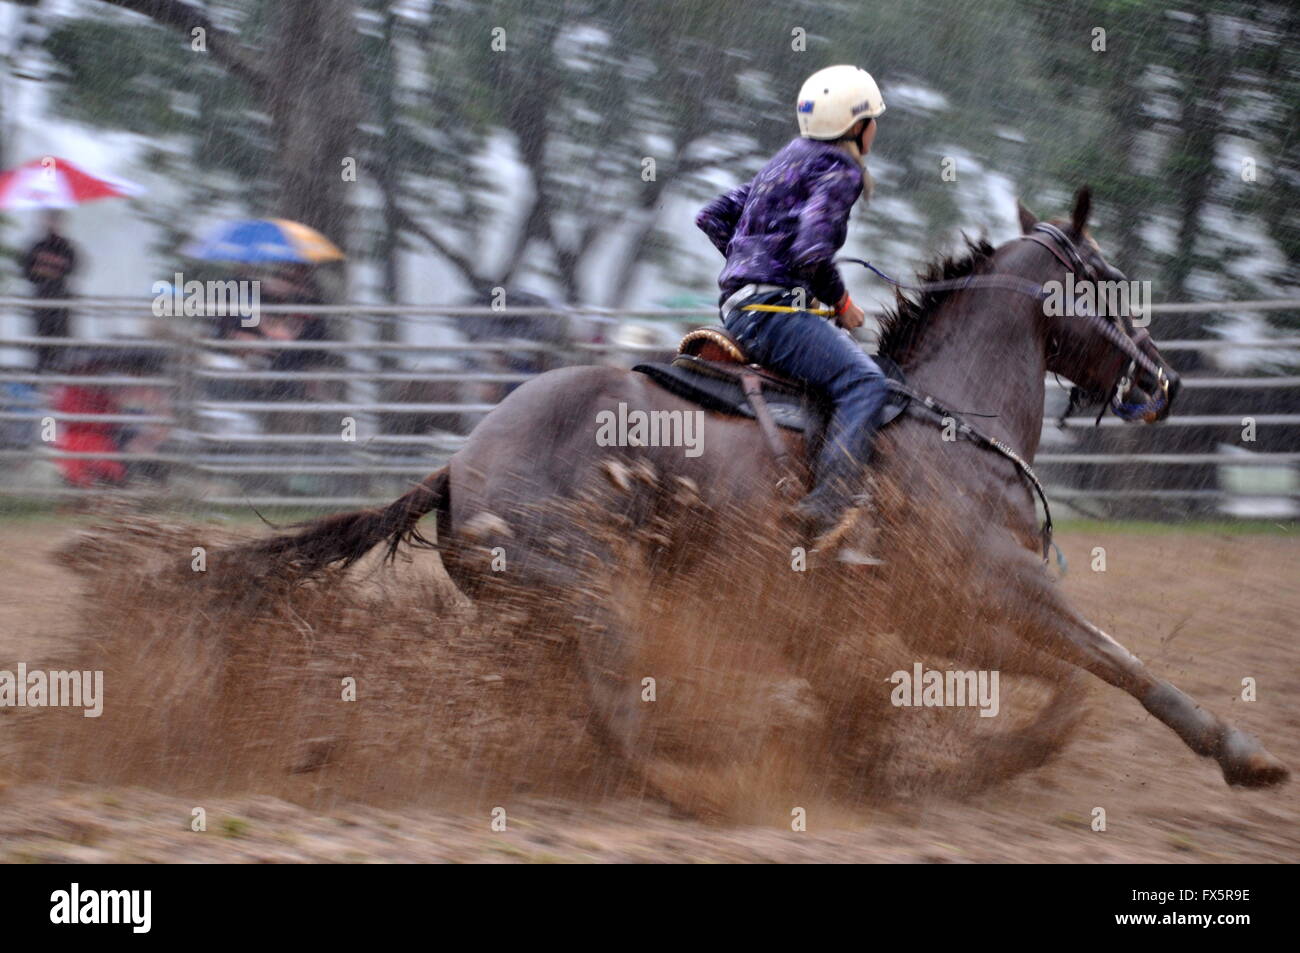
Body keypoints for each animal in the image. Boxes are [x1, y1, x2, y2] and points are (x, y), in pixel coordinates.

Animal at [236, 187, 1289, 811]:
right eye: (1109, 281)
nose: (1166, 382)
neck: (952, 422)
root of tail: (458, 466)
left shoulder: (946, 618)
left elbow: (1070, 683)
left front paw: (930, 762)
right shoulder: (996, 590)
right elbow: (1109, 665)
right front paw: (1242, 753)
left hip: (535, 614)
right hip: (594, 593)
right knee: (616, 709)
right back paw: (703, 784)